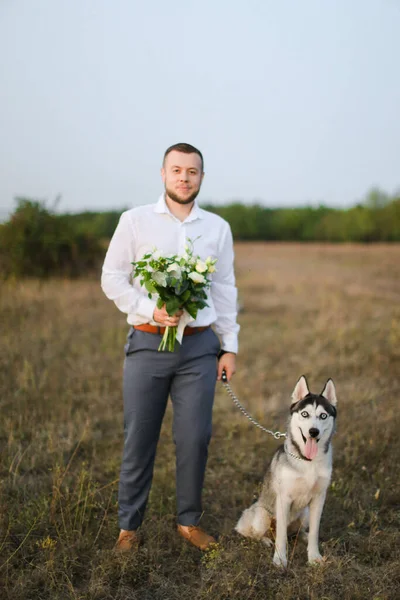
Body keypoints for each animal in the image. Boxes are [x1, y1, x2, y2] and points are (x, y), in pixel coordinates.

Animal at [236, 376, 336, 568]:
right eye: (304, 414)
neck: (307, 462)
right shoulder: (284, 498)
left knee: (297, 532)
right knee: (260, 533)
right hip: (261, 516)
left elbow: (315, 532)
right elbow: (281, 537)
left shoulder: (319, 498)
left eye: (323, 415)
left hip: (304, 514)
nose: (313, 432)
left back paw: (302, 536)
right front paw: (280, 559)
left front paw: (314, 556)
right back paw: (266, 540)